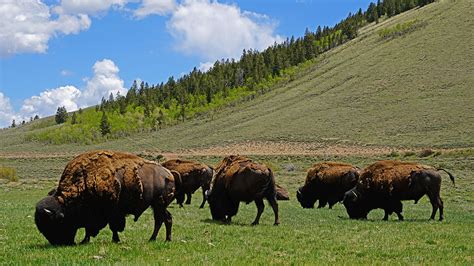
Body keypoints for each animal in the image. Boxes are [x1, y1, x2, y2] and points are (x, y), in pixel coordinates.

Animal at [34, 150, 180, 245]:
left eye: (55, 223)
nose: (58, 243)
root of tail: (169, 173)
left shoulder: (111, 212)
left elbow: (112, 227)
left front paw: (114, 240)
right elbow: (90, 228)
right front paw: (85, 240)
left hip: (159, 204)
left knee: (163, 219)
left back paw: (162, 239)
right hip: (156, 205)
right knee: (163, 219)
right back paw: (157, 239)